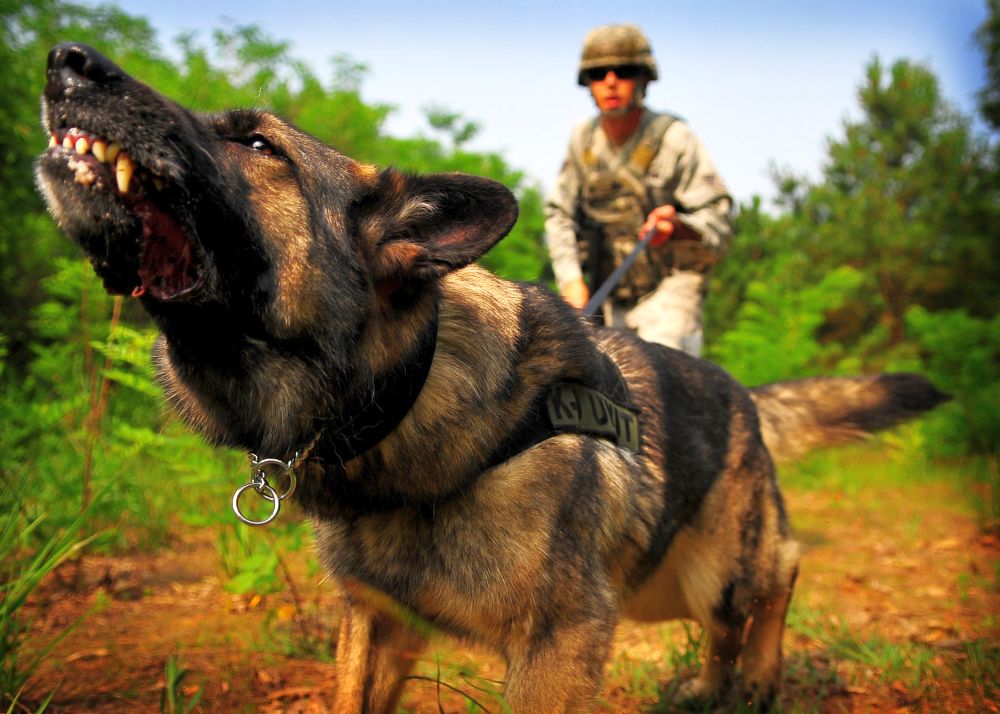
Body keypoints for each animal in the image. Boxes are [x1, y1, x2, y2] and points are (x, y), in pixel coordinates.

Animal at [35, 41, 948, 708]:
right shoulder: (378, 625)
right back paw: (715, 687)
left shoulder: (561, 645)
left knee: (779, 573)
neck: (401, 401)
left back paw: (757, 676)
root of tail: (739, 395)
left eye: (259, 146)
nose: (67, 60)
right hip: (659, 583)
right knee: (729, 620)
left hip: (717, 570)